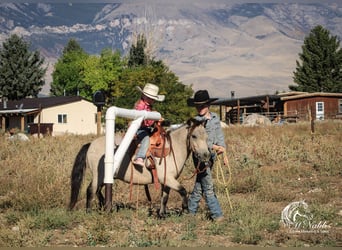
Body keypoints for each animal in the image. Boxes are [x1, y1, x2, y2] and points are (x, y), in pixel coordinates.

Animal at [68, 119, 210, 217]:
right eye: (194, 136)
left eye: (206, 136)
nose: (206, 155)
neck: (170, 150)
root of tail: (90, 144)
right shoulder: (169, 179)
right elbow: (183, 190)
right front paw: (185, 208)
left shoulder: (167, 181)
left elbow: (164, 197)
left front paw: (162, 214)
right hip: (99, 175)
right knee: (90, 190)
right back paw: (88, 211)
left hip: (104, 177)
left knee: (97, 191)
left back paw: (103, 205)